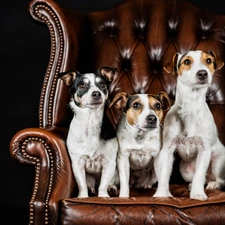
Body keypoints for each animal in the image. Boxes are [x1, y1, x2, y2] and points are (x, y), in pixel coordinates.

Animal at [154, 49, 225, 200]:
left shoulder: (204, 150)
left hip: (218, 162)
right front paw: (161, 194)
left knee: (216, 179)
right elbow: (163, 174)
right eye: (187, 61)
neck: (191, 106)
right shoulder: (168, 149)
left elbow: (199, 175)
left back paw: (212, 184)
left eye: (208, 60)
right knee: (202, 178)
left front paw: (198, 194)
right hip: (184, 169)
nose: (203, 73)